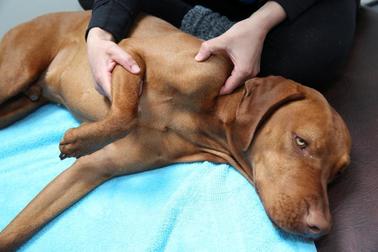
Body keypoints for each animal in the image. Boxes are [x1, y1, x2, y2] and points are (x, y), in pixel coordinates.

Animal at [0, 10, 352, 249]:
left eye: (336, 175)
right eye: (301, 142)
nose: (322, 227)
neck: (207, 115)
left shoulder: (95, 169)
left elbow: (19, 230)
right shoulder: (130, 53)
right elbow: (125, 114)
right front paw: (79, 140)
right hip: (15, 73)